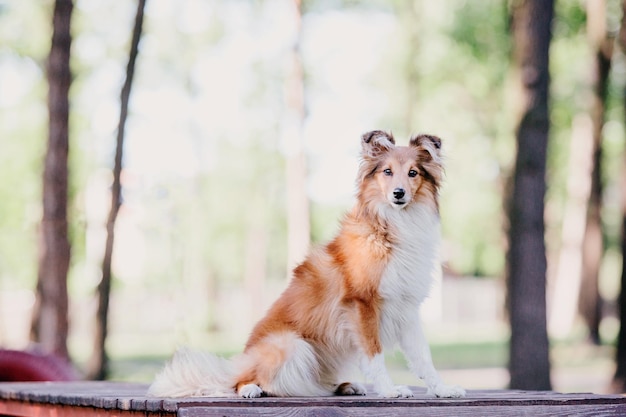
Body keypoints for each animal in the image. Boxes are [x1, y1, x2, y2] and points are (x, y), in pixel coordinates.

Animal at [147, 130, 464, 396]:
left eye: (413, 173)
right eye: (387, 172)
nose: (399, 193)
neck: (390, 227)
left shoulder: (406, 307)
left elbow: (423, 356)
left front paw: (443, 389)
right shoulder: (362, 304)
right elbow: (374, 354)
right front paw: (389, 391)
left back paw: (346, 386)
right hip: (291, 344)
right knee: (247, 381)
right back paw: (250, 388)